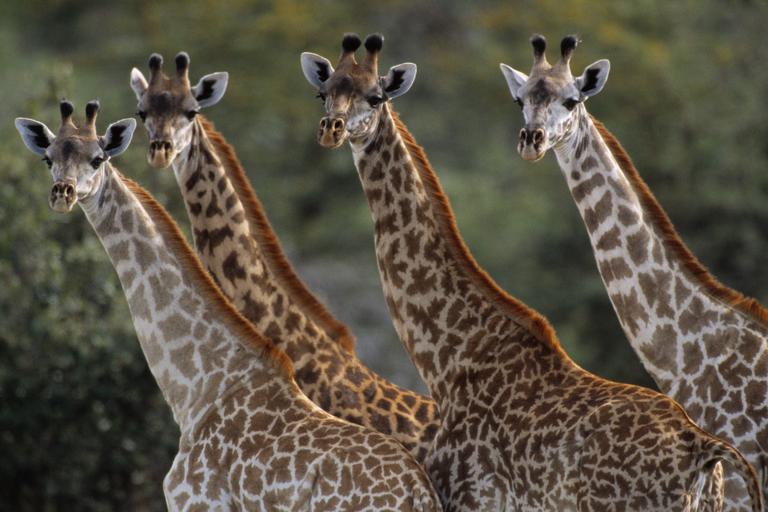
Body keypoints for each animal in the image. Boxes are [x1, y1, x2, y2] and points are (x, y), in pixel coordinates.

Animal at [14, 100, 441, 511]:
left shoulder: (197, 502)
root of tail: (417, 493)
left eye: (98, 158)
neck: (199, 388)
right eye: (48, 157)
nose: (63, 193)